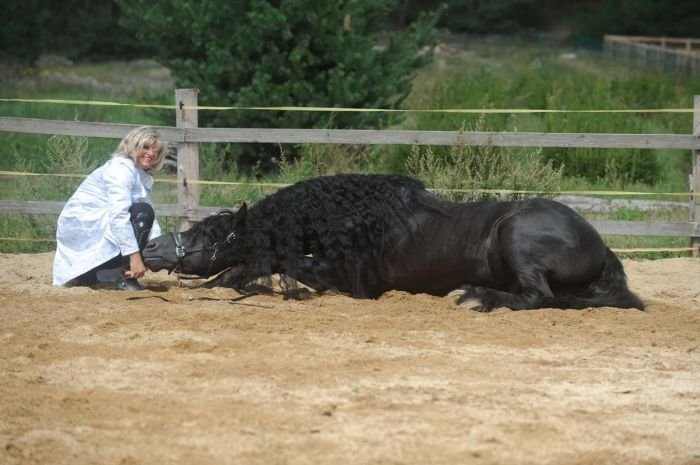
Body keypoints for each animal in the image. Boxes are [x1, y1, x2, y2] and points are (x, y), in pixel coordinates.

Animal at [143, 174, 644, 311]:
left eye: (209, 232)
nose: (151, 249)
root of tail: (599, 244)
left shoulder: (355, 282)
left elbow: (287, 266)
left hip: (517, 238)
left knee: (538, 296)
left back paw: (474, 296)